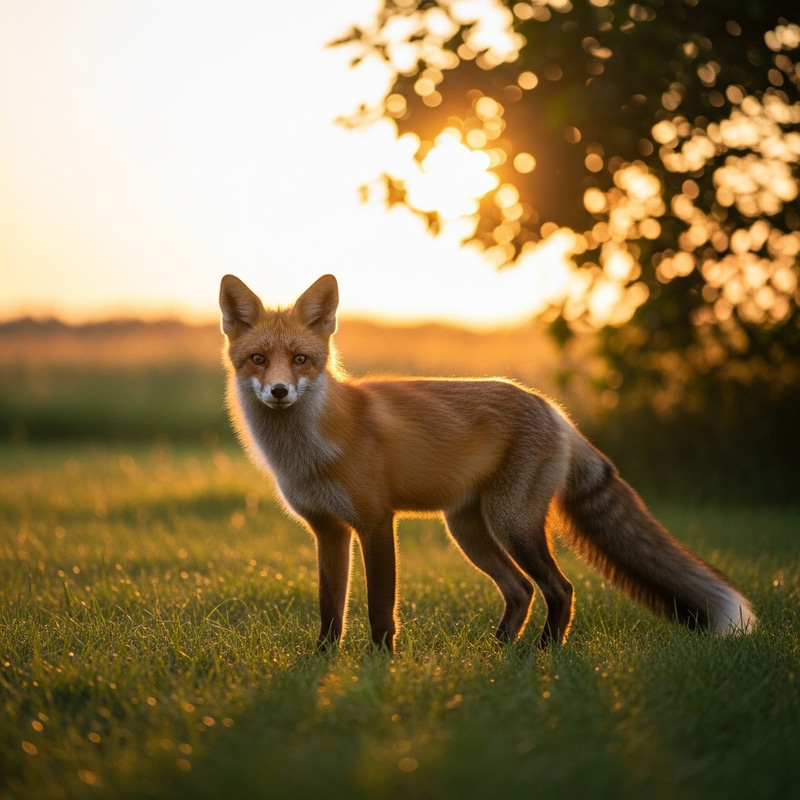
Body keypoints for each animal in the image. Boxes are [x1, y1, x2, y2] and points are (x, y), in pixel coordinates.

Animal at [219, 273, 756, 652]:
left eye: (301, 359)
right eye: (258, 359)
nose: (279, 391)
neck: (310, 449)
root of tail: (552, 408)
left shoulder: (375, 522)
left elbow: (379, 608)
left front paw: (380, 665)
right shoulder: (328, 531)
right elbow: (330, 611)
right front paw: (322, 662)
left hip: (511, 522)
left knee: (559, 589)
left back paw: (542, 653)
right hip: (469, 530)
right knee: (520, 590)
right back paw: (499, 652)